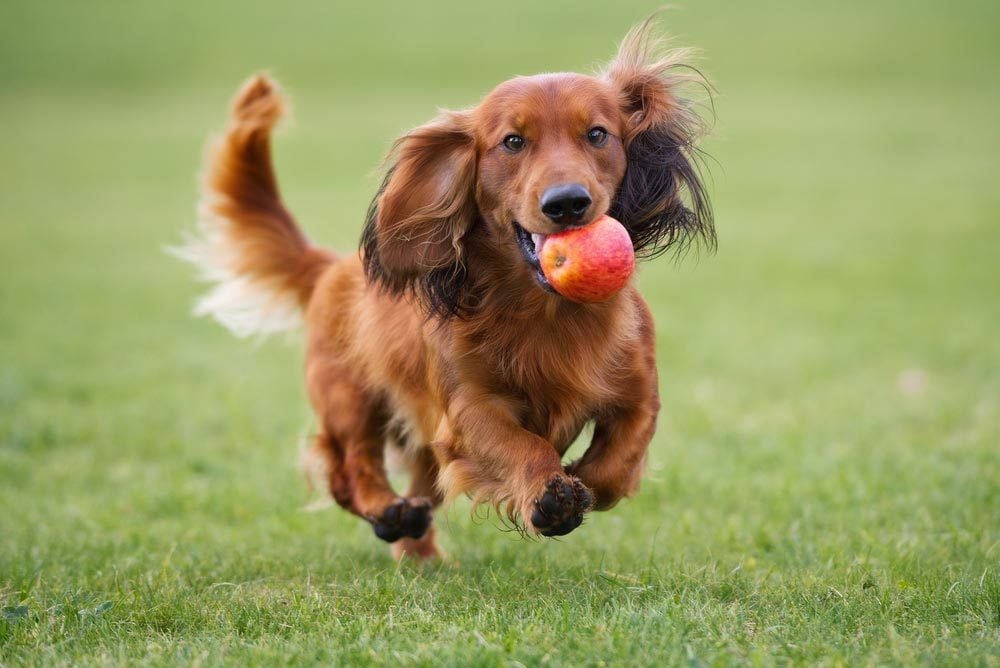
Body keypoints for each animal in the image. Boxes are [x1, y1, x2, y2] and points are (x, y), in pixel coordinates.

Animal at [178, 19, 712, 560]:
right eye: (513, 141)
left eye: (598, 134)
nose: (566, 203)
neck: (547, 313)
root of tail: (330, 267)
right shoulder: (467, 410)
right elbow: (522, 444)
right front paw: (549, 493)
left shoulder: (639, 395)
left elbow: (615, 466)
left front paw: (579, 478)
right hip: (348, 396)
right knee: (349, 467)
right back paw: (387, 511)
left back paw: (418, 549)